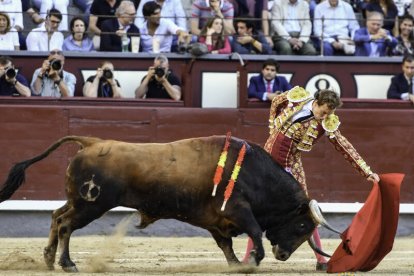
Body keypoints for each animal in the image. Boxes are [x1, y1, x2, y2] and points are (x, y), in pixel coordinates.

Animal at [0, 136, 336, 272]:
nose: (283, 255)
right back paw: (68, 263)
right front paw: (251, 263)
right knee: (66, 224)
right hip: (91, 205)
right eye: (302, 225)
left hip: (80, 201)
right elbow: (254, 233)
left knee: (57, 216)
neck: (256, 174)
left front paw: (235, 266)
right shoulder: (237, 210)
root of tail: (91, 142)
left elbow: (226, 246)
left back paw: (48, 258)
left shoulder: (216, 221)